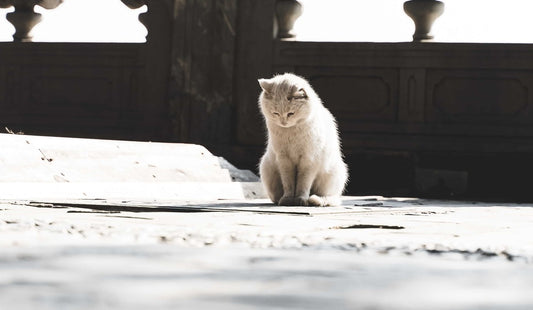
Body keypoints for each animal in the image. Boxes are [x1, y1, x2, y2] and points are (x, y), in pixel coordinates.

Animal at [256, 73, 348, 206]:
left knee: (330, 198)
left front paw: (301, 199)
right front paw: (288, 199)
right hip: (266, 167)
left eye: (291, 113)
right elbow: (288, 184)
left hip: (333, 174)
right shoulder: (284, 160)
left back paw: (315, 200)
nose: (283, 123)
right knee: (275, 197)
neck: (290, 132)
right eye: (275, 113)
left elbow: (303, 183)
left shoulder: (308, 160)